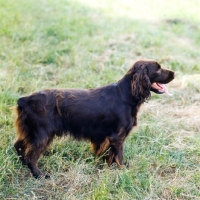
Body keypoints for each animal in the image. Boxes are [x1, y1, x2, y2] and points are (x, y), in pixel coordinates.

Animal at [14, 59, 174, 178]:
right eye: (158, 69)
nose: (174, 73)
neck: (126, 95)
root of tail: (25, 100)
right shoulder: (117, 137)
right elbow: (119, 155)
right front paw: (123, 170)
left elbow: (110, 155)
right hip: (42, 134)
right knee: (30, 156)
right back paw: (39, 174)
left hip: (30, 132)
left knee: (19, 146)